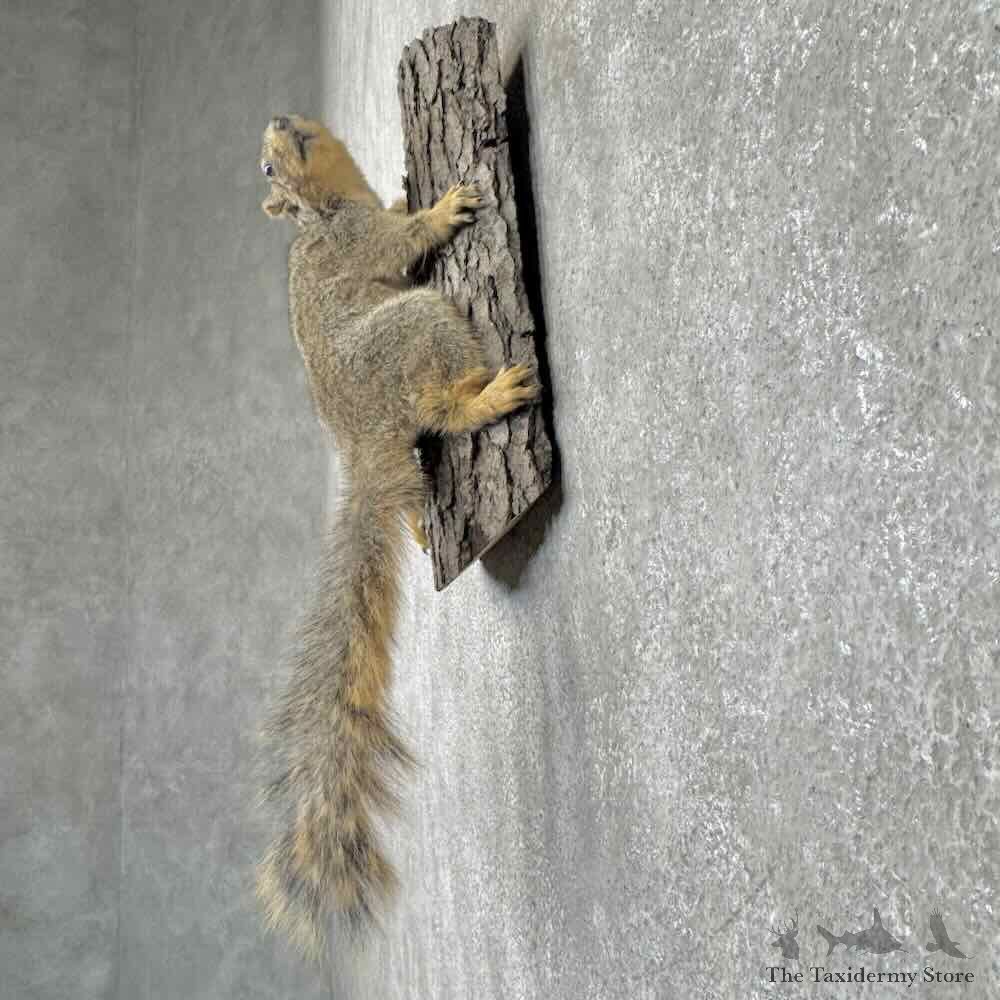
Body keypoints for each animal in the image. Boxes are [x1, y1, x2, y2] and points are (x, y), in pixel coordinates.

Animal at [253, 114, 538, 960]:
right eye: (268, 167)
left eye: (281, 143)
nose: (278, 122)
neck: (328, 205)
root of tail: (363, 450)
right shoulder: (360, 243)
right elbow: (400, 242)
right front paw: (440, 207)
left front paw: (412, 189)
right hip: (416, 327)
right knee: (437, 407)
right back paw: (482, 400)